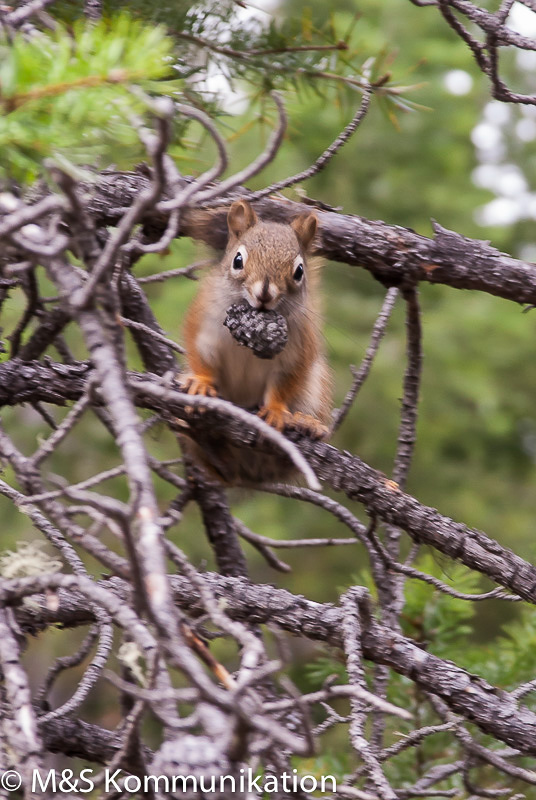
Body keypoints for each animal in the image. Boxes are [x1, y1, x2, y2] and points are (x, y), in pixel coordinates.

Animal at [178, 198, 332, 484]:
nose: (265, 293)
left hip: (315, 386)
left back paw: (308, 424)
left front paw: (275, 410)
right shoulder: (203, 322)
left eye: (299, 271)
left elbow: (285, 381)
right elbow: (200, 353)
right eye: (238, 260)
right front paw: (202, 383)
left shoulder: (298, 349)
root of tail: (248, 472)